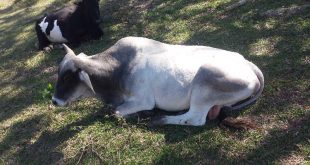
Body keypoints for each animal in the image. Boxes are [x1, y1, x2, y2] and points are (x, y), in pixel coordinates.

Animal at [51, 36, 264, 125]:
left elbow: (116, 112)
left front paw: (140, 115)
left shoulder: (143, 100)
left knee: (195, 118)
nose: (54, 101)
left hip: (204, 82)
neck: (117, 68)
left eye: (68, 76)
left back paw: (160, 119)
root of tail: (248, 63)